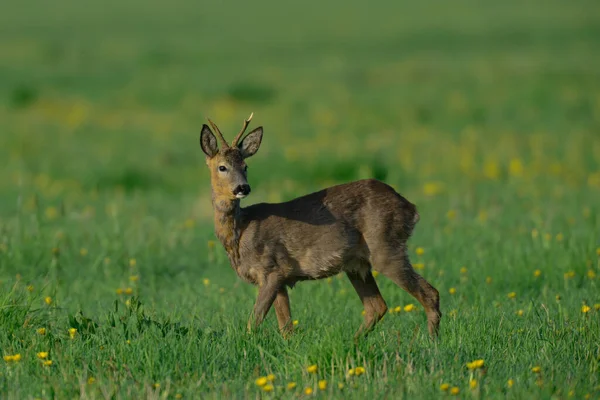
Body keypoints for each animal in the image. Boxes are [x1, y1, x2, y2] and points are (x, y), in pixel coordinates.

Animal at [199, 114, 438, 340]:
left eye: (245, 166)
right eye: (222, 167)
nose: (242, 187)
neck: (240, 232)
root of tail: (410, 208)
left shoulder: (273, 268)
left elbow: (254, 322)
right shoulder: (279, 278)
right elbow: (286, 328)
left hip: (385, 246)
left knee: (430, 293)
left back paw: (432, 343)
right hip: (357, 264)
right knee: (376, 307)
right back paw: (353, 343)